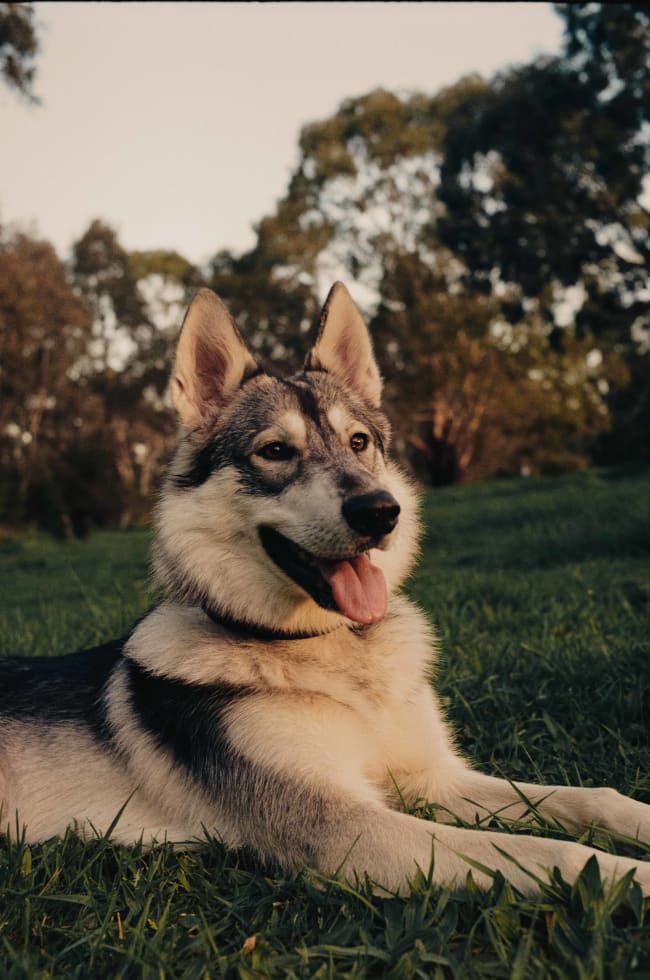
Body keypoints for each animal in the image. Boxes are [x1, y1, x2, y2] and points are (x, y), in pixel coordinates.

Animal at [1, 284, 648, 896]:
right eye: (275, 451)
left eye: (359, 442)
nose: (380, 512)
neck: (335, 654)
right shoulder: (338, 825)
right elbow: (561, 853)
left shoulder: (432, 779)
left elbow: (593, 797)